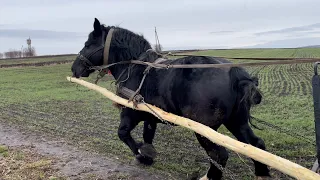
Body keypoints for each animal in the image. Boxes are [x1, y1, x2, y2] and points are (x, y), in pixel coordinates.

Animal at [71, 17, 272, 179]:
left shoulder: (131, 112)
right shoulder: (150, 115)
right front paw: (147, 154)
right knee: (256, 145)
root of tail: (234, 73)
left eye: (88, 44)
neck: (134, 67)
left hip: (205, 129)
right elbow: (147, 135)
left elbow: (123, 133)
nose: (74, 68)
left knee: (219, 155)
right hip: (237, 121)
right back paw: (262, 174)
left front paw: (142, 154)